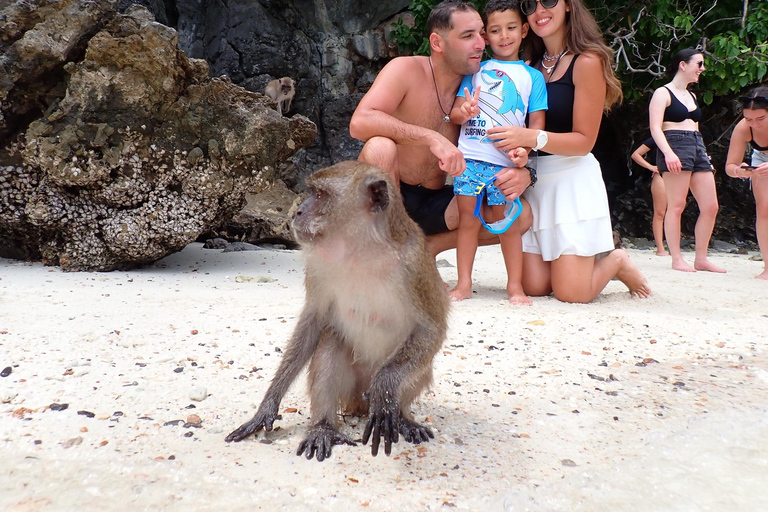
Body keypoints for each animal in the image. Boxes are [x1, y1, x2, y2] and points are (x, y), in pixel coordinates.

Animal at [225, 160, 448, 460]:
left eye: (320, 195)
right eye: (312, 192)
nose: (298, 211)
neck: (362, 249)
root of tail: (359, 407)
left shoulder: (415, 265)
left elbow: (431, 328)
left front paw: (385, 386)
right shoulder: (318, 266)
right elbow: (313, 321)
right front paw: (268, 405)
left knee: (418, 364)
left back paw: (401, 416)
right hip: (351, 391)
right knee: (331, 343)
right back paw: (323, 427)